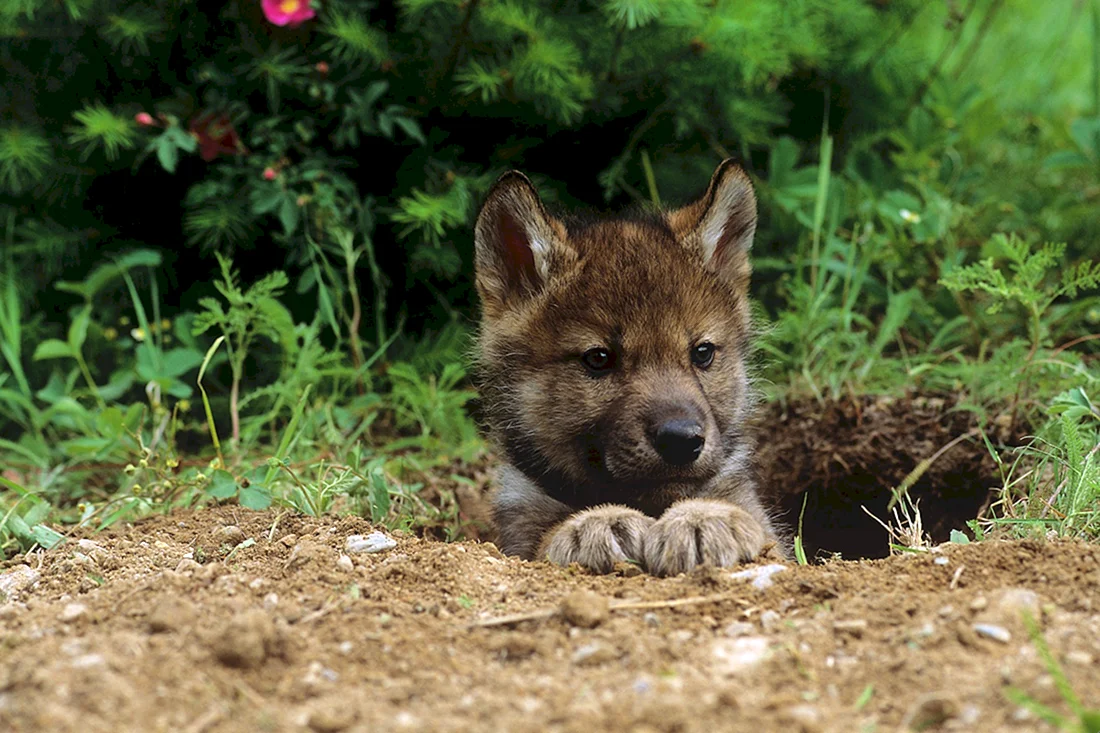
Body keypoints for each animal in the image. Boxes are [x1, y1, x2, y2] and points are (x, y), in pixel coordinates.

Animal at [473, 160, 785, 576]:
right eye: (599, 358)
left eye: (702, 353)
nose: (682, 440)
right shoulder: (518, 535)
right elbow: (547, 535)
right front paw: (597, 521)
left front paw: (704, 518)